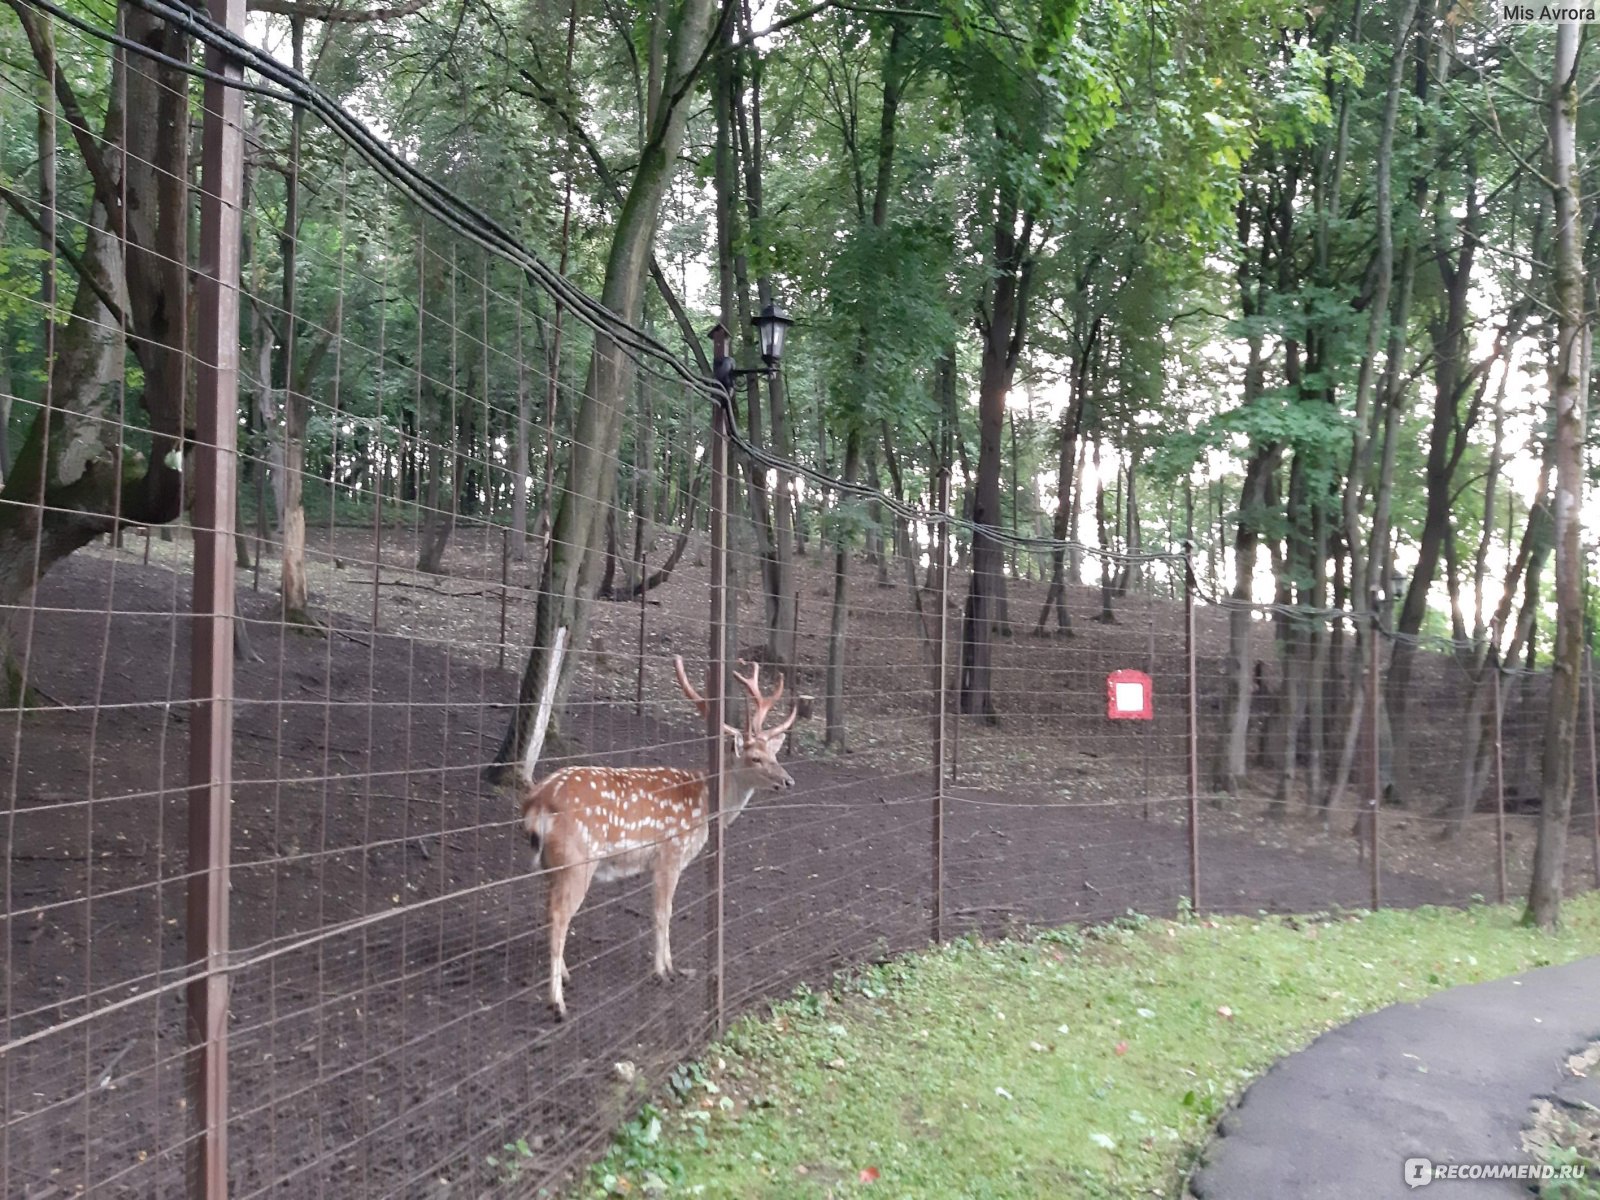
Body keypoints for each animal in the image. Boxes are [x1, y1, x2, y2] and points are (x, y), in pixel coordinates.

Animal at [521, 659, 796, 1017]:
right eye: (755, 758)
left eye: (775, 755)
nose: (787, 780)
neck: (705, 803)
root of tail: (537, 801)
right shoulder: (670, 854)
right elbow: (663, 912)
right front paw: (665, 971)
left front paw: (669, 968)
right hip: (577, 858)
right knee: (558, 915)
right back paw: (558, 1003)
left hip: (551, 863)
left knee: (549, 911)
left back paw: (565, 976)